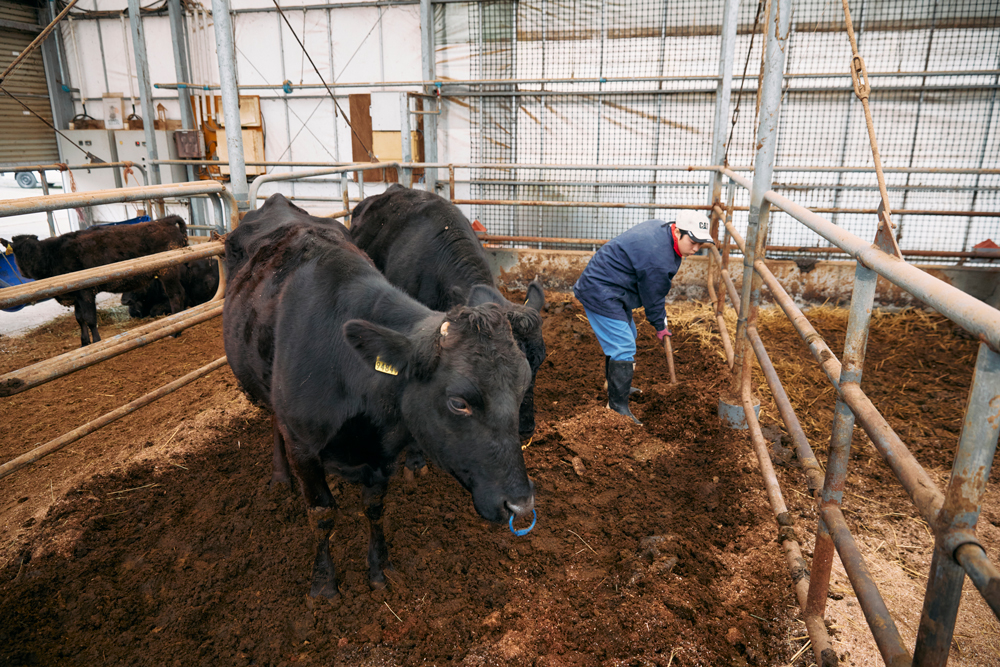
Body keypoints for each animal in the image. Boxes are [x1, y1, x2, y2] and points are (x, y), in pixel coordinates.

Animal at [4, 217, 188, 348]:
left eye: (33, 251)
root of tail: (164, 220)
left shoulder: (86, 292)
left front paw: (97, 342)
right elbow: (79, 319)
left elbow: (90, 318)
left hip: (168, 272)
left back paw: (177, 330)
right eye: (17, 252)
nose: (26, 271)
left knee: (175, 296)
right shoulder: (77, 295)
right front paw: (84, 343)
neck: (53, 255)